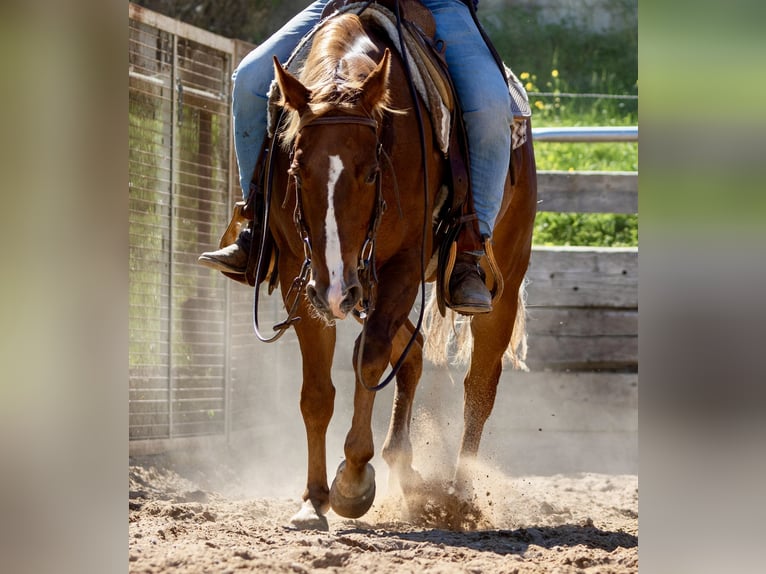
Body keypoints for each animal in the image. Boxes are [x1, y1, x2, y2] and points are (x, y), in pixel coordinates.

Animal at [263, 9, 537, 530]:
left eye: (372, 171)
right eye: (295, 169)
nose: (336, 292)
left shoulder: (402, 266)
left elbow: (369, 359)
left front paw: (351, 482)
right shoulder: (301, 274)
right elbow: (317, 391)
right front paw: (313, 500)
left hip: (501, 285)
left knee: (479, 389)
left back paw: (459, 495)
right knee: (410, 354)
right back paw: (403, 467)